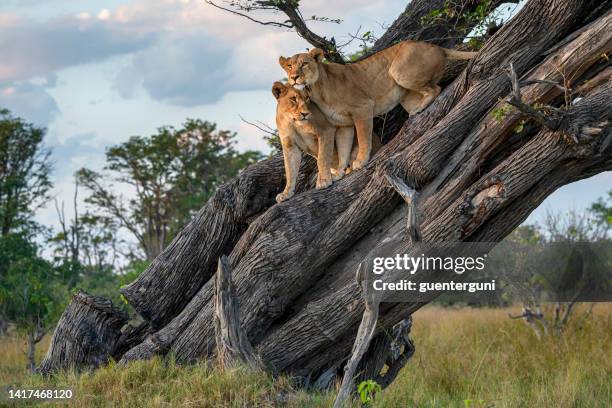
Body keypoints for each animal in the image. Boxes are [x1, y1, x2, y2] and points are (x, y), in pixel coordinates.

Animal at [278, 40, 478, 171]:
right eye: (289, 66)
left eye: (304, 64)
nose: (293, 77)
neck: (316, 90)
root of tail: (437, 46)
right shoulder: (342, 123)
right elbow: (343, 147)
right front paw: (342, 170)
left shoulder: (362, 108)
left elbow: (363, 138)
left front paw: (360, 162)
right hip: (404, 94)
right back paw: (416, 109)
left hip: (398, 71)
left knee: (435, 88)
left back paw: (419, 108)